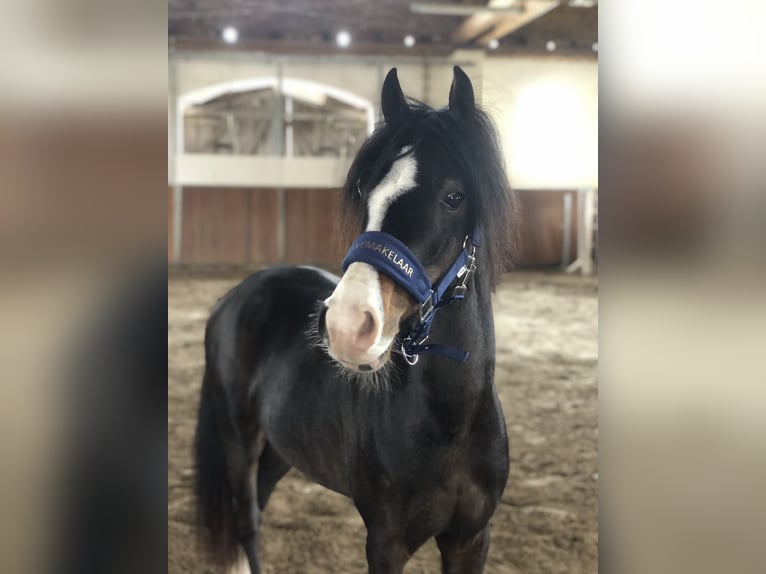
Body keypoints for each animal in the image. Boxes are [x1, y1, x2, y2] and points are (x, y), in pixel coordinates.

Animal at [195, 66, 516, 572]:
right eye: (366, 189)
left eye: (453, 196)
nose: (347, 324)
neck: (453, 422)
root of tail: (235, 297)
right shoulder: (385, 543)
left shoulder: (471, 539)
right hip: (237, 434)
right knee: (246, 520)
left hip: (282, 443)